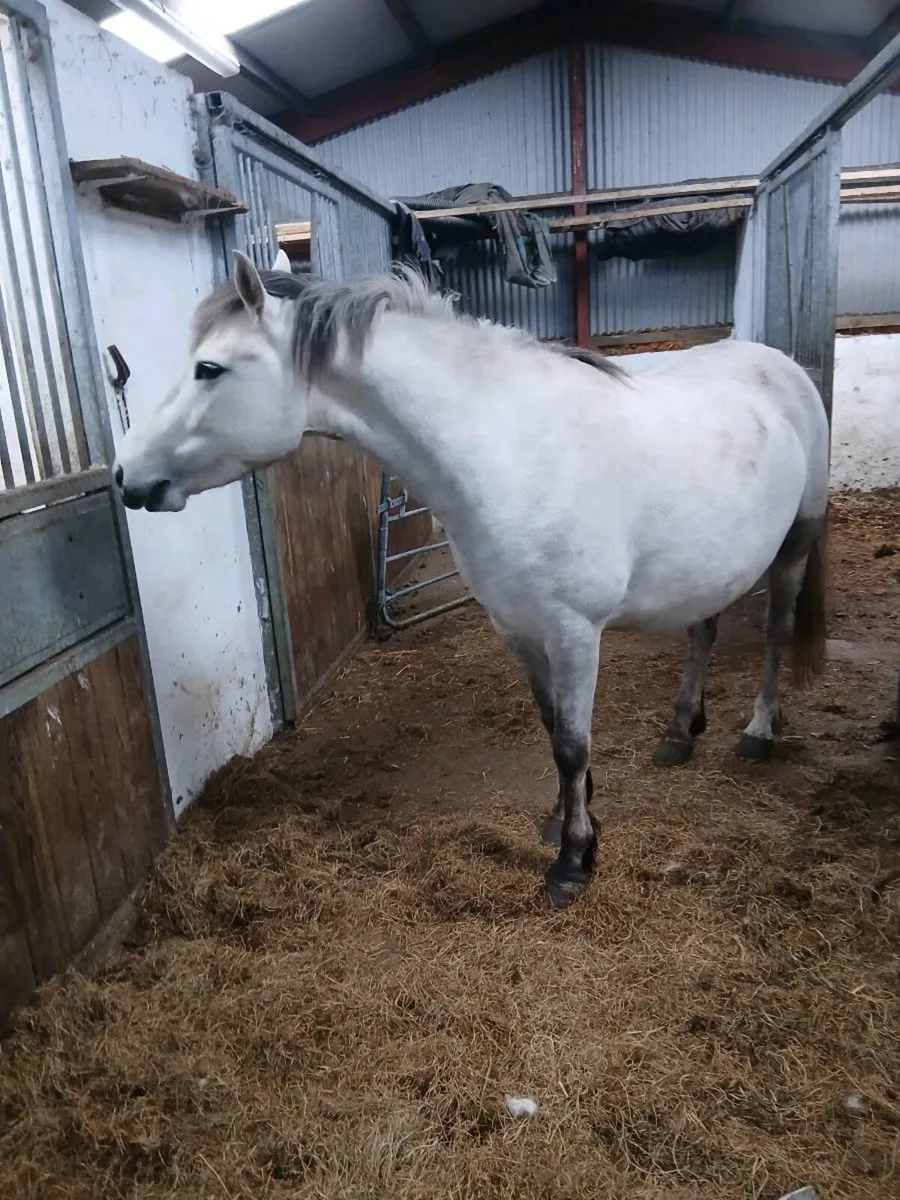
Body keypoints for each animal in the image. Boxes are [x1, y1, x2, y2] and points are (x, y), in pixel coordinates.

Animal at [114, 250, 829, 909]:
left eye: (209, 369)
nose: (125, 474)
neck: (510, 451)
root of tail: (781, 365)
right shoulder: (516, 626)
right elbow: (553, 730)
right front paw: (566, 821)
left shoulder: (575, 632)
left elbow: (573, 745)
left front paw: (574, 861)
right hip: (711, 567)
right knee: (703, 631)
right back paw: (681, 732)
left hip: (796, 544)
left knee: (776, 631)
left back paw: (758, 733)